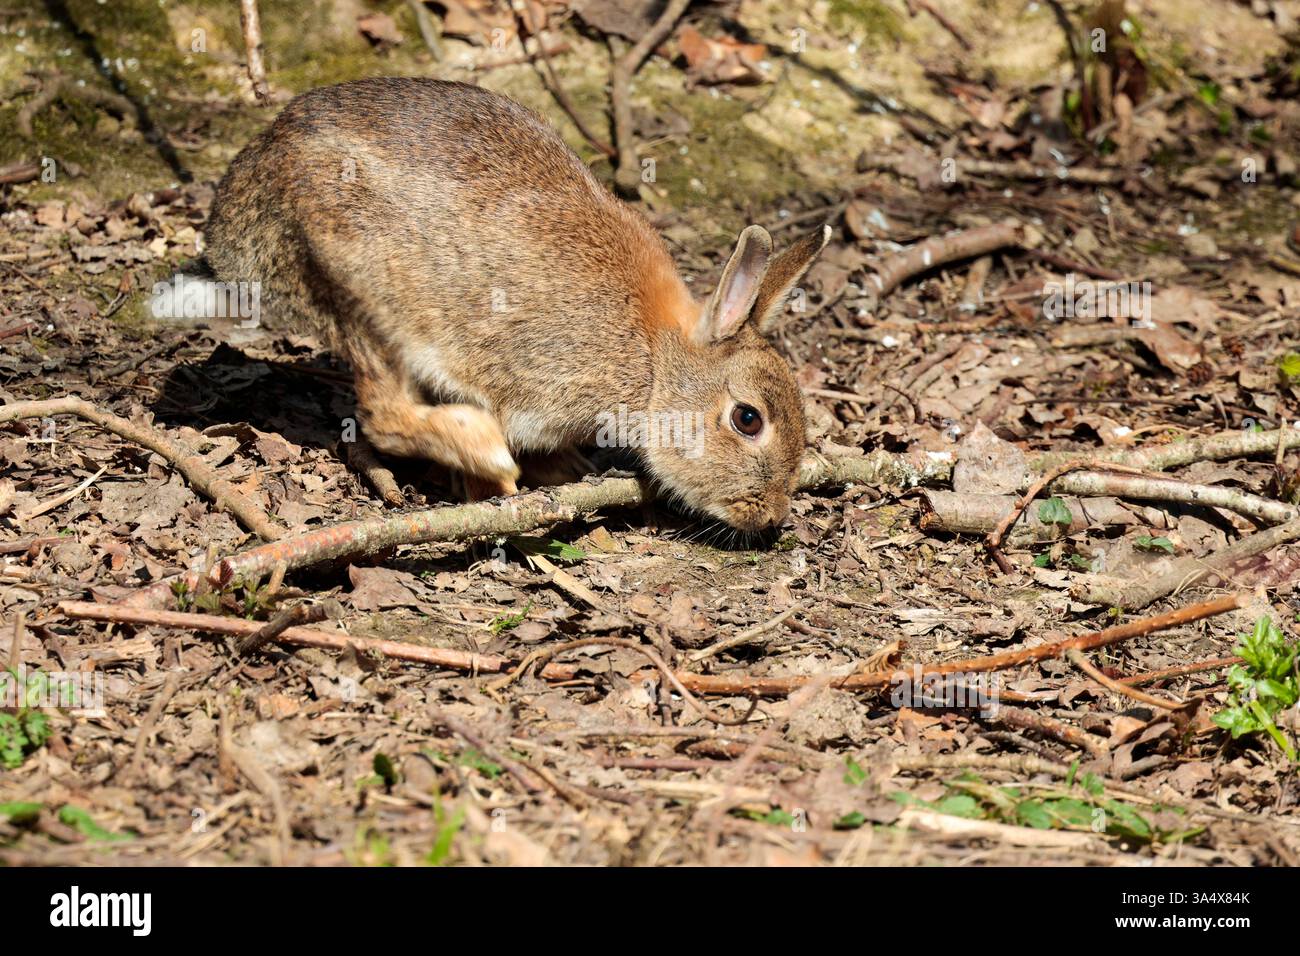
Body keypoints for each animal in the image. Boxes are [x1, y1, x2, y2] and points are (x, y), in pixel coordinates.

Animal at [205, 77, 829, 531]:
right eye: (748, 419)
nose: (772, 516)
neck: (654, 359)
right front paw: (498, 481)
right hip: (366, 295)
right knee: (384, 415)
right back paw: (487, 454)